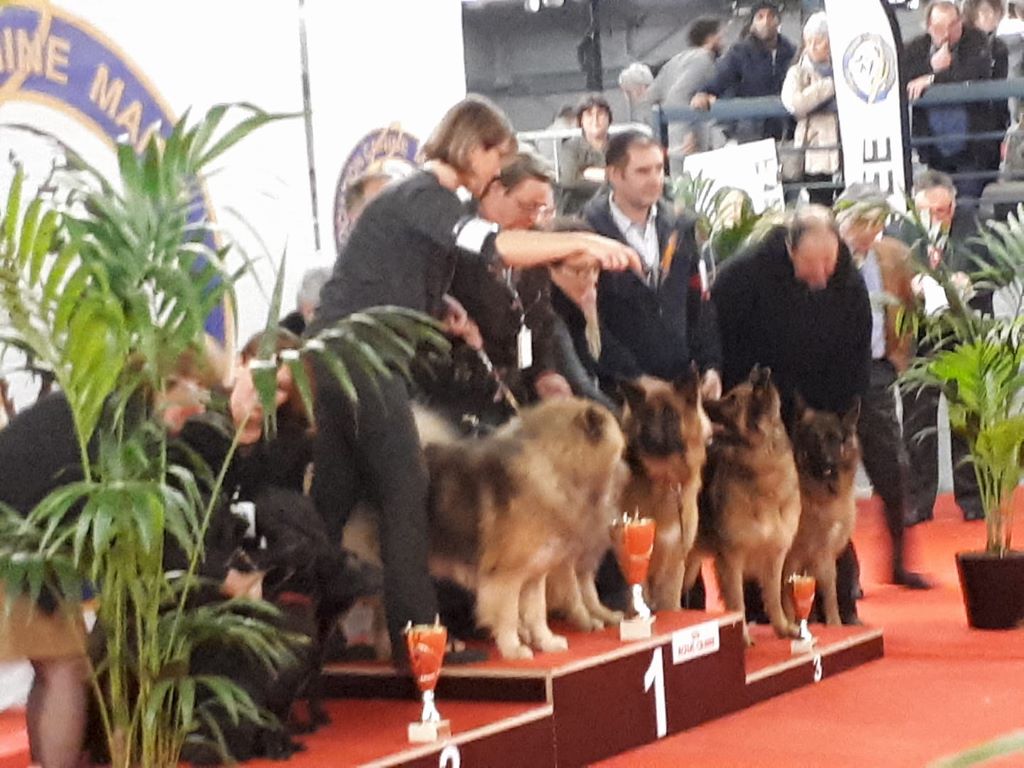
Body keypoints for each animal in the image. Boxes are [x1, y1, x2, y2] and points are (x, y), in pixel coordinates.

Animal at [419, 399, 626, 659]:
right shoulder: (507, 576)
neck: (553, 468)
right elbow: (509, 615)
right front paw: (514, 649)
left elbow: (537, 613)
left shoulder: (536, 573)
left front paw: (547, 642)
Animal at [614, 372, 712, 614]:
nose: (650, 439)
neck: (664, 481)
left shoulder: (673, 562)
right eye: (646, 416)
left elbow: (670, 605)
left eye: (670, 416)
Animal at [684, 366, 802, 643]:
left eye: (732, 401)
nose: (702, 402)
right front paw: (743, 638)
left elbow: (774, 598)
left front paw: (783, 628)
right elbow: (738, 604)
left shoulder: (775, 555)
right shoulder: (731, 559)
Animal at [782, 397, 864, 626]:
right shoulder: (792, 557)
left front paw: (833, 624)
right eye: (815, 440)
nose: (829, 463)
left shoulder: (825, 557)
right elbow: (787, 599)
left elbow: (829, 595)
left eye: (835, 440)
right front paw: (791, 623)